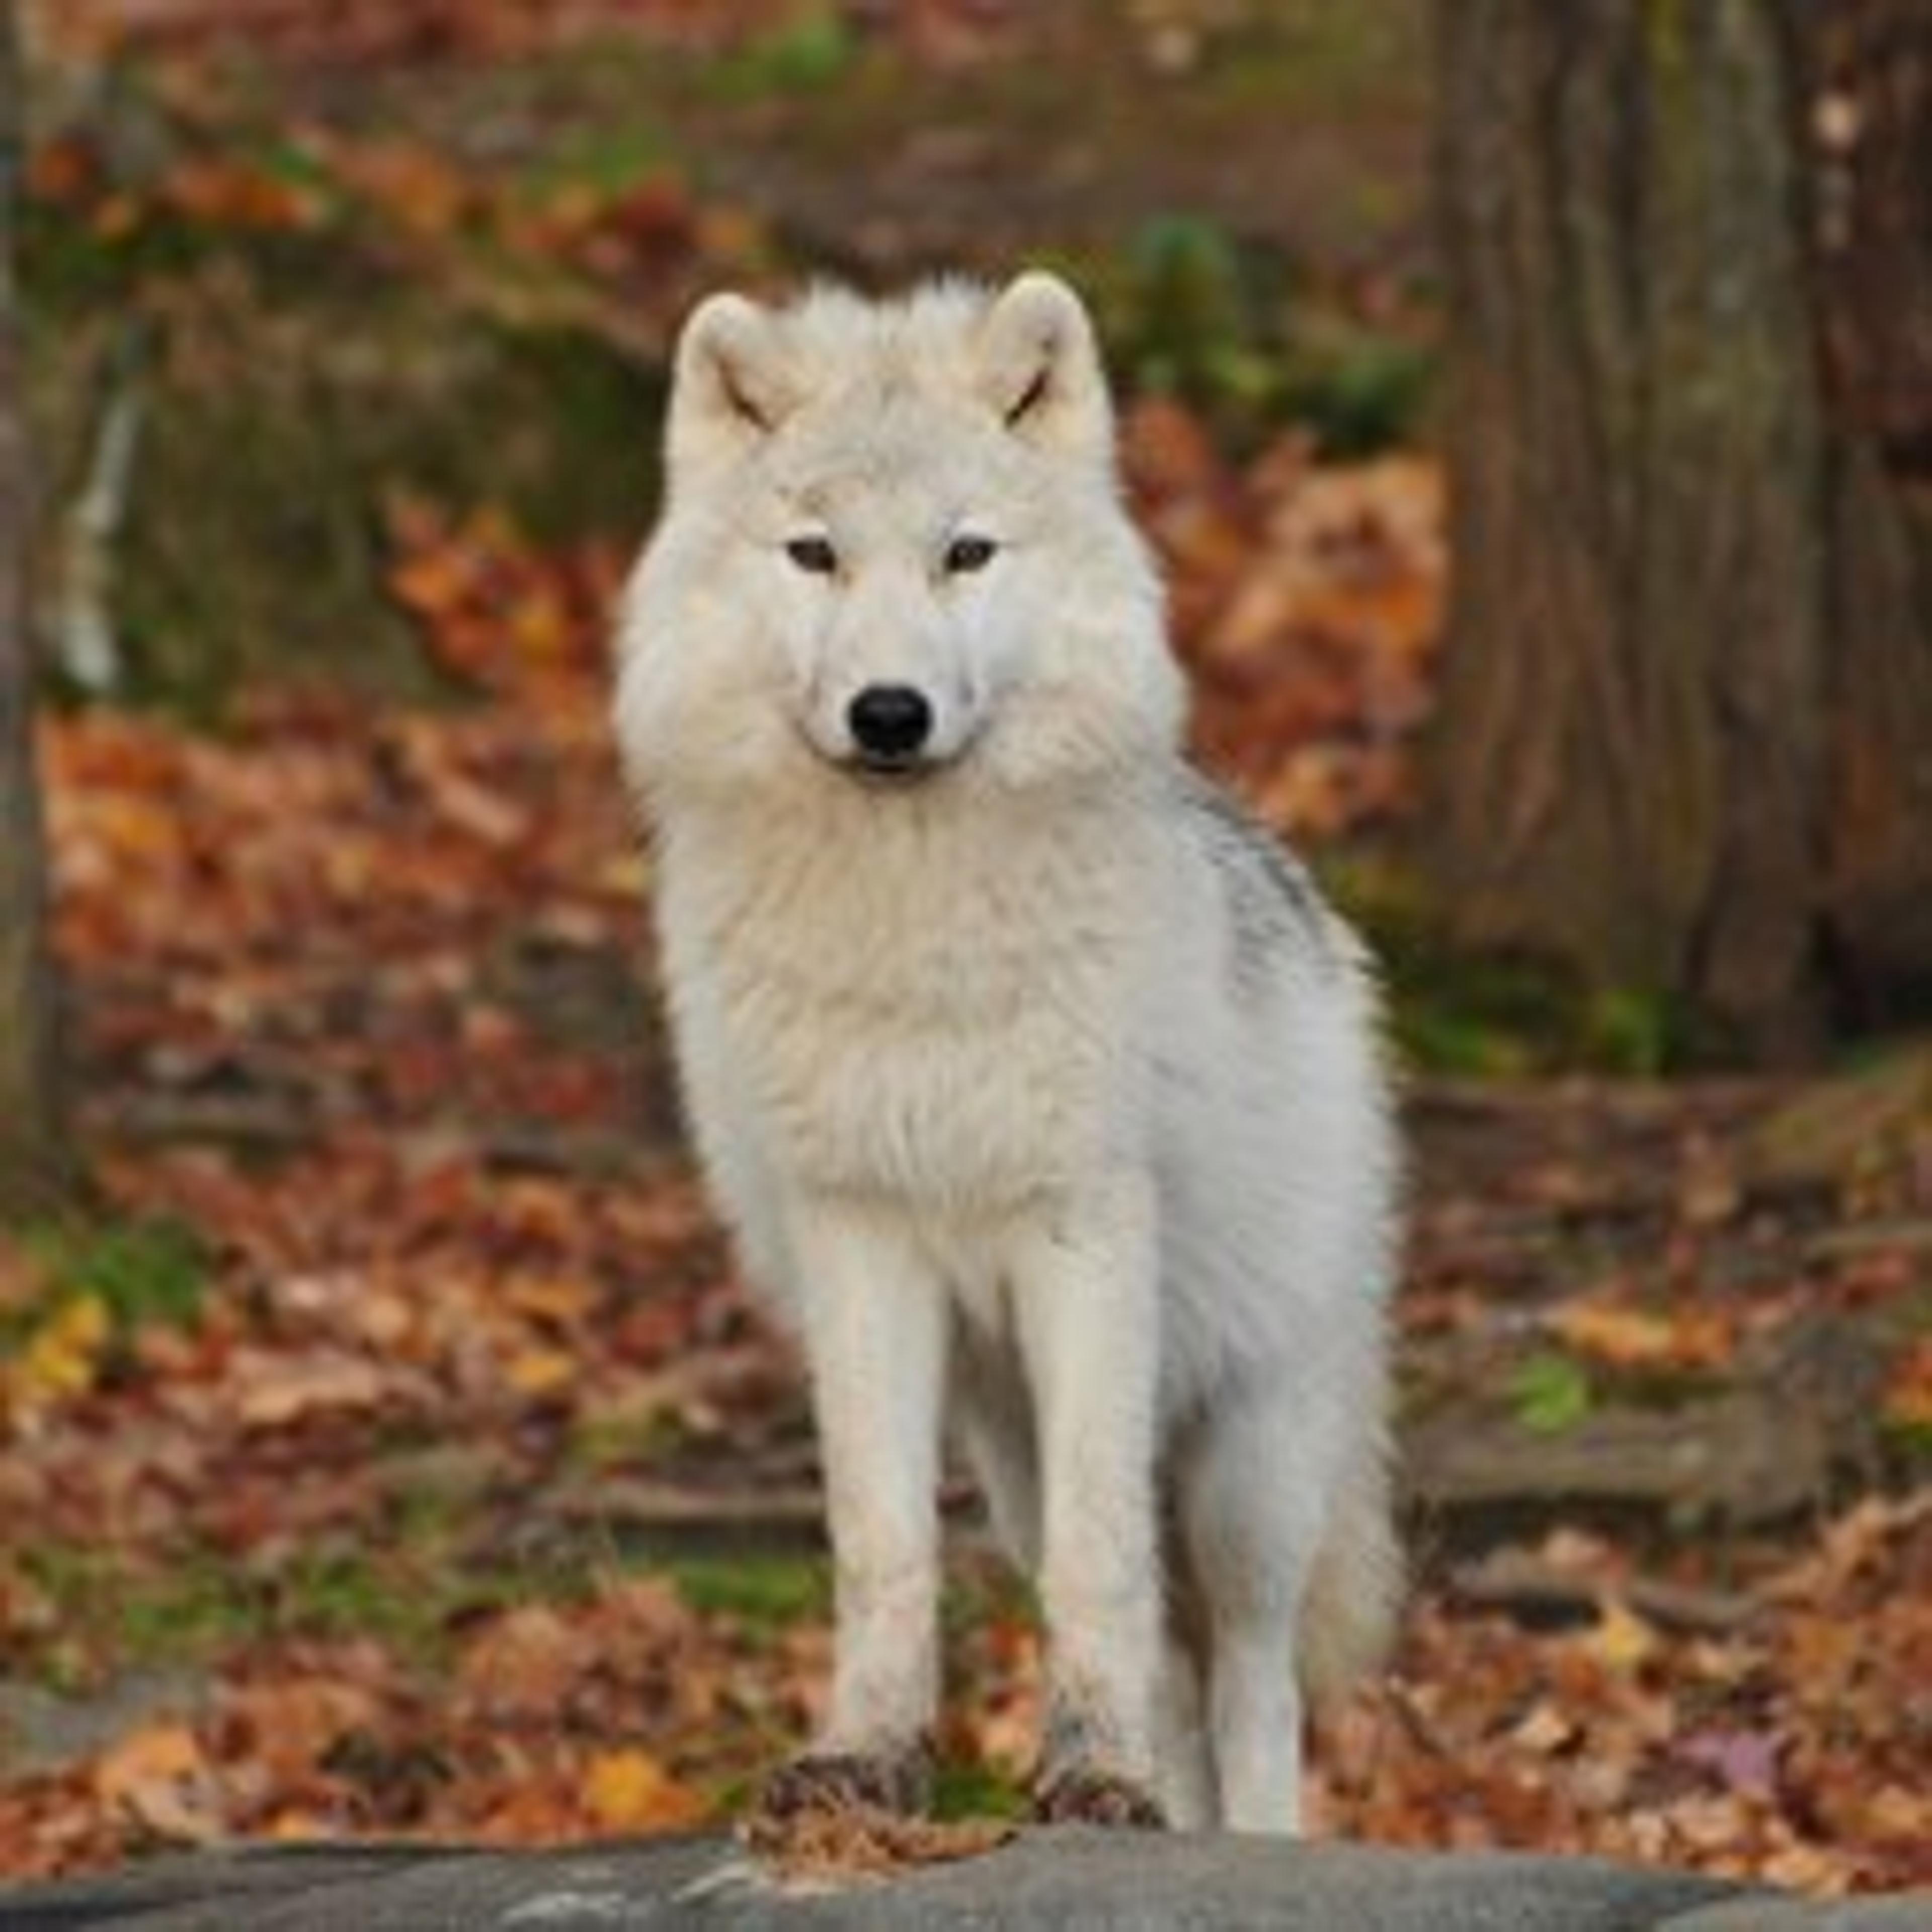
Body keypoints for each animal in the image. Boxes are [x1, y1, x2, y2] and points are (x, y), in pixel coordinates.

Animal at [612, 271, 1400, 1835]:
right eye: (815, 555)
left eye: (966, 552)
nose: (890, 714)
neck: (913, 929)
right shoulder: (858, 1237)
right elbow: (881, 1544)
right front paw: (866, 1759)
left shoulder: (1080, 1230)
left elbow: (1105, 1569)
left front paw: (1090, 1775)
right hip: (1010, 1444)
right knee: (1168, 1663)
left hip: (1247, 1460)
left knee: (1252, 1677)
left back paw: (1243, 1835)